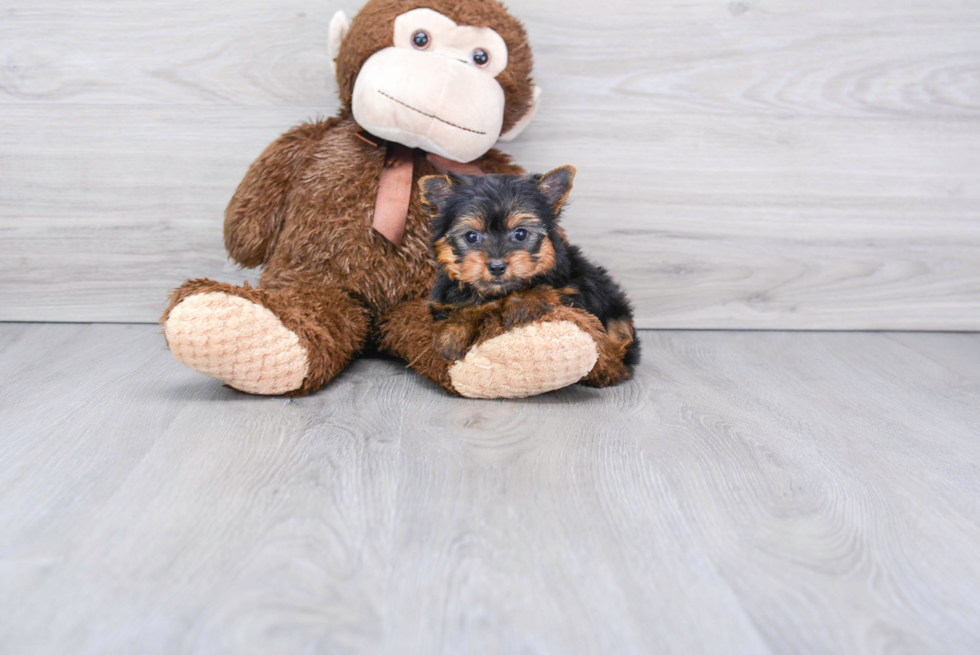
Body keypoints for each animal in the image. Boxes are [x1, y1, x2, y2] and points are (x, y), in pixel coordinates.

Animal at [418, 167, 640, 386]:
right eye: (471, 236)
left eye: (520, 234)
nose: (497, 266)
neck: (499, 292)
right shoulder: (444, 302)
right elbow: (465, 310)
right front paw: (452, 333)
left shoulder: (576, 289)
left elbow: (548, 290)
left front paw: (522, 303)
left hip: (613, 305)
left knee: (619, 337)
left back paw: (608, 370)